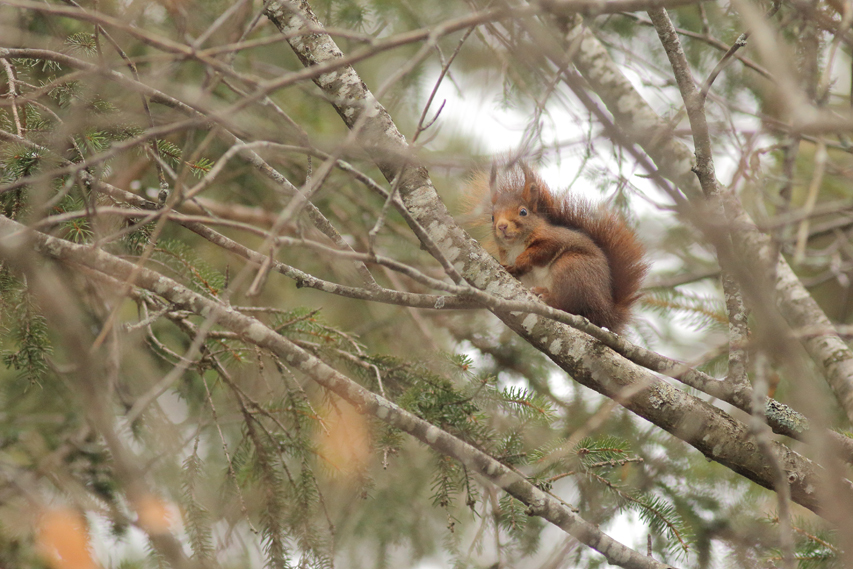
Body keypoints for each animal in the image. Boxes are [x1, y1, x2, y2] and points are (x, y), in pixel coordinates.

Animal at [466, 161, 644, 332]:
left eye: (523, 212)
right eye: (492, 217)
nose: (502, 226)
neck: (516, 244)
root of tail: (607, 312)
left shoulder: (554, 239)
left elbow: (541, 250)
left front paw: (521, 260)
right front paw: (511, 268)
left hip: (572, 267)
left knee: (568, 305)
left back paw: (546, 296)